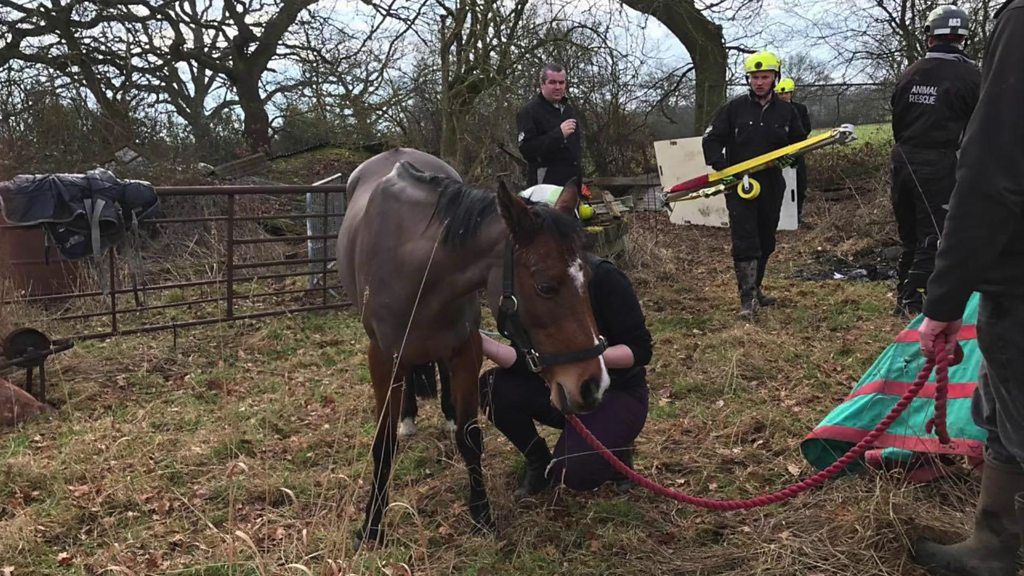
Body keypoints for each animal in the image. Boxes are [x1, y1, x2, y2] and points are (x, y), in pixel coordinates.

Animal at [337, 148, 610, 546]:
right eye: (545, 286)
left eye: (589, 278)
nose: (593, 385)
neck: (415, 268)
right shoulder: (383, 359)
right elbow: (383, 445)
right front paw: (372, 525)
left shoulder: (467, 350)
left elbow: (470, 436)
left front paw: (482, 514)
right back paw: (408, 417)